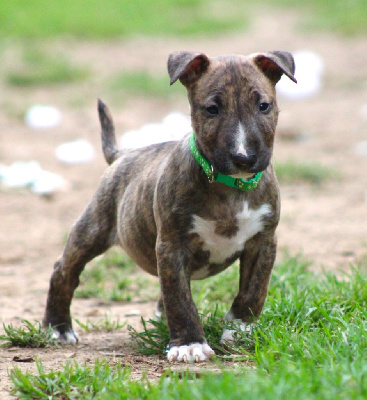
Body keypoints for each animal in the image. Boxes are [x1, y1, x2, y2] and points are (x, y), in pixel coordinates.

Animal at [43, 50, 296, 362]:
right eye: (212, 109)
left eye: (264, 106)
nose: (244, 157)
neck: (231, 187)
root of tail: (124, 153)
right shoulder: (172, 245)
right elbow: (180, 298)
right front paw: (189, 344)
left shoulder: (263, 242)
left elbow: (253, 290)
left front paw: (240, 331)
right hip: (94, 228)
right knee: (64, 271)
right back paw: (58, 328)